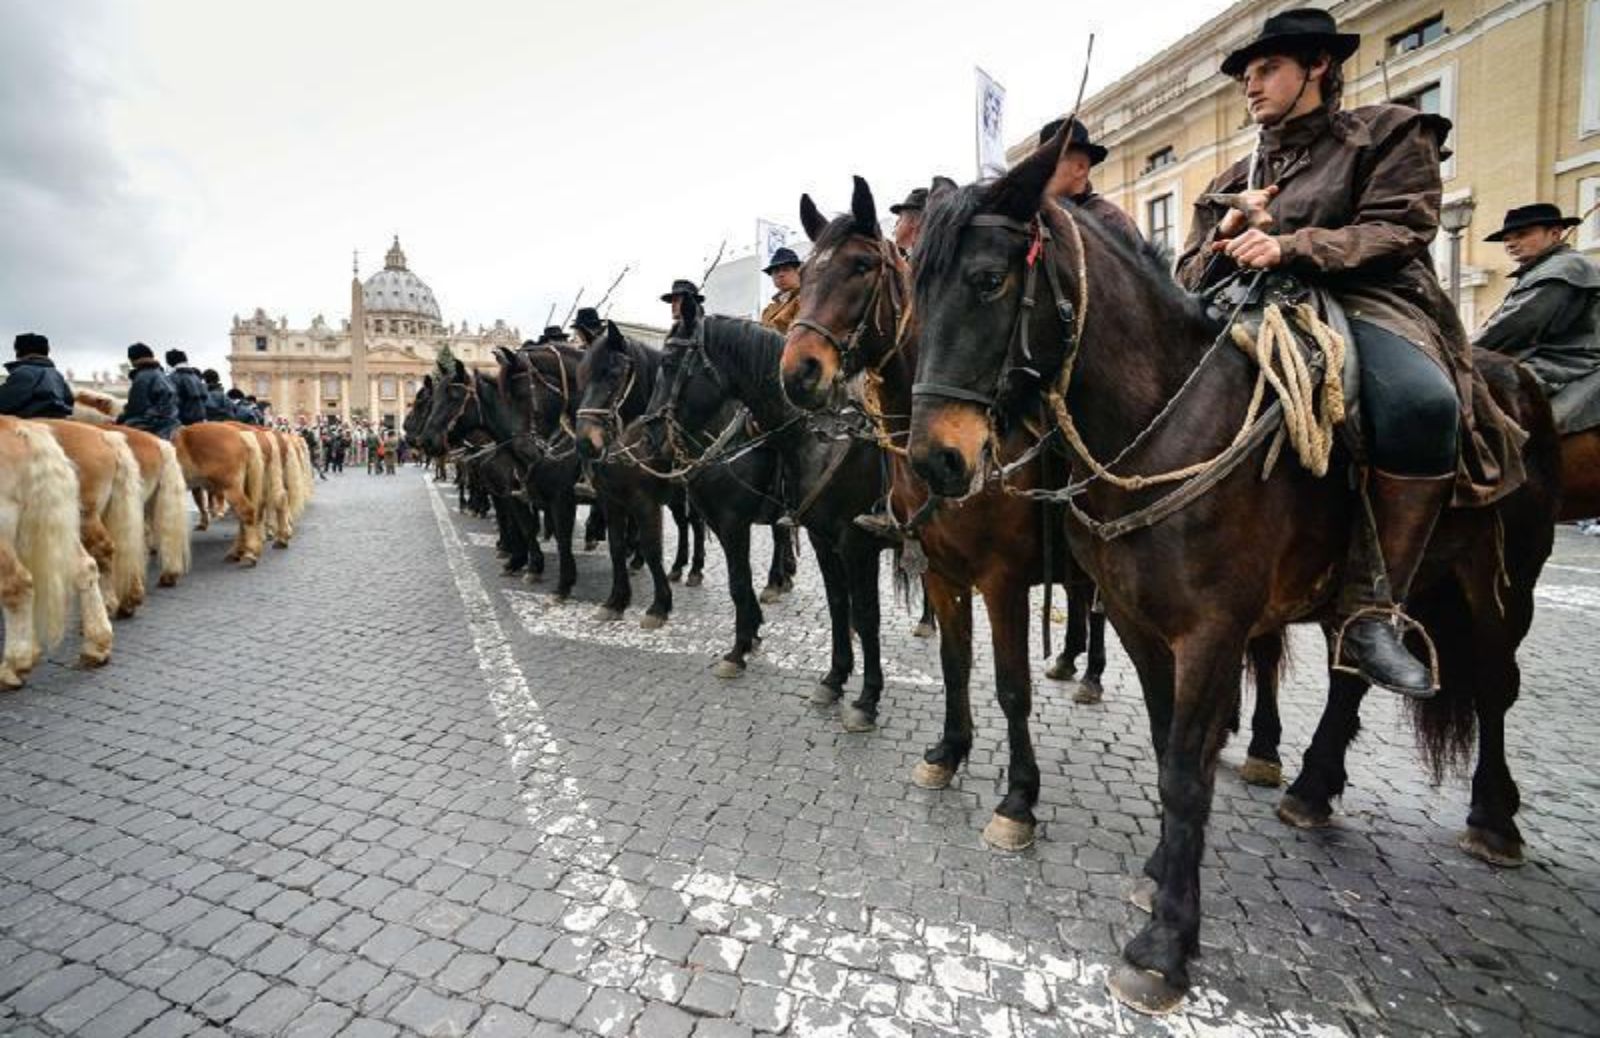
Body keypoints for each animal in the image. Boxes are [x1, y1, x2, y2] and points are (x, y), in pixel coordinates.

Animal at [649, 295, 902, 726]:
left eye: (667, 361)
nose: (649, 432)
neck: (822, 439)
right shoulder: (820, 539)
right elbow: (837, 605)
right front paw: (831, 678)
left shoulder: (854, 545)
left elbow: (865, 614)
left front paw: (867, 699)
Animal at [908, 133, 1555, 1010]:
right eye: (914, 289)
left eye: (985, 281)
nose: (935, 461)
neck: (1167, 424)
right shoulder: (1140, 624)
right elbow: (1166, 751)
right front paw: (1159, 875)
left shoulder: (1208, 632)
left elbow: (1185, 769)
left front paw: (1165, 946)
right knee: (1354, 672)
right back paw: (1313, 786)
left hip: (1499, 592)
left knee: (1491, 689)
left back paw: (1492, 817)